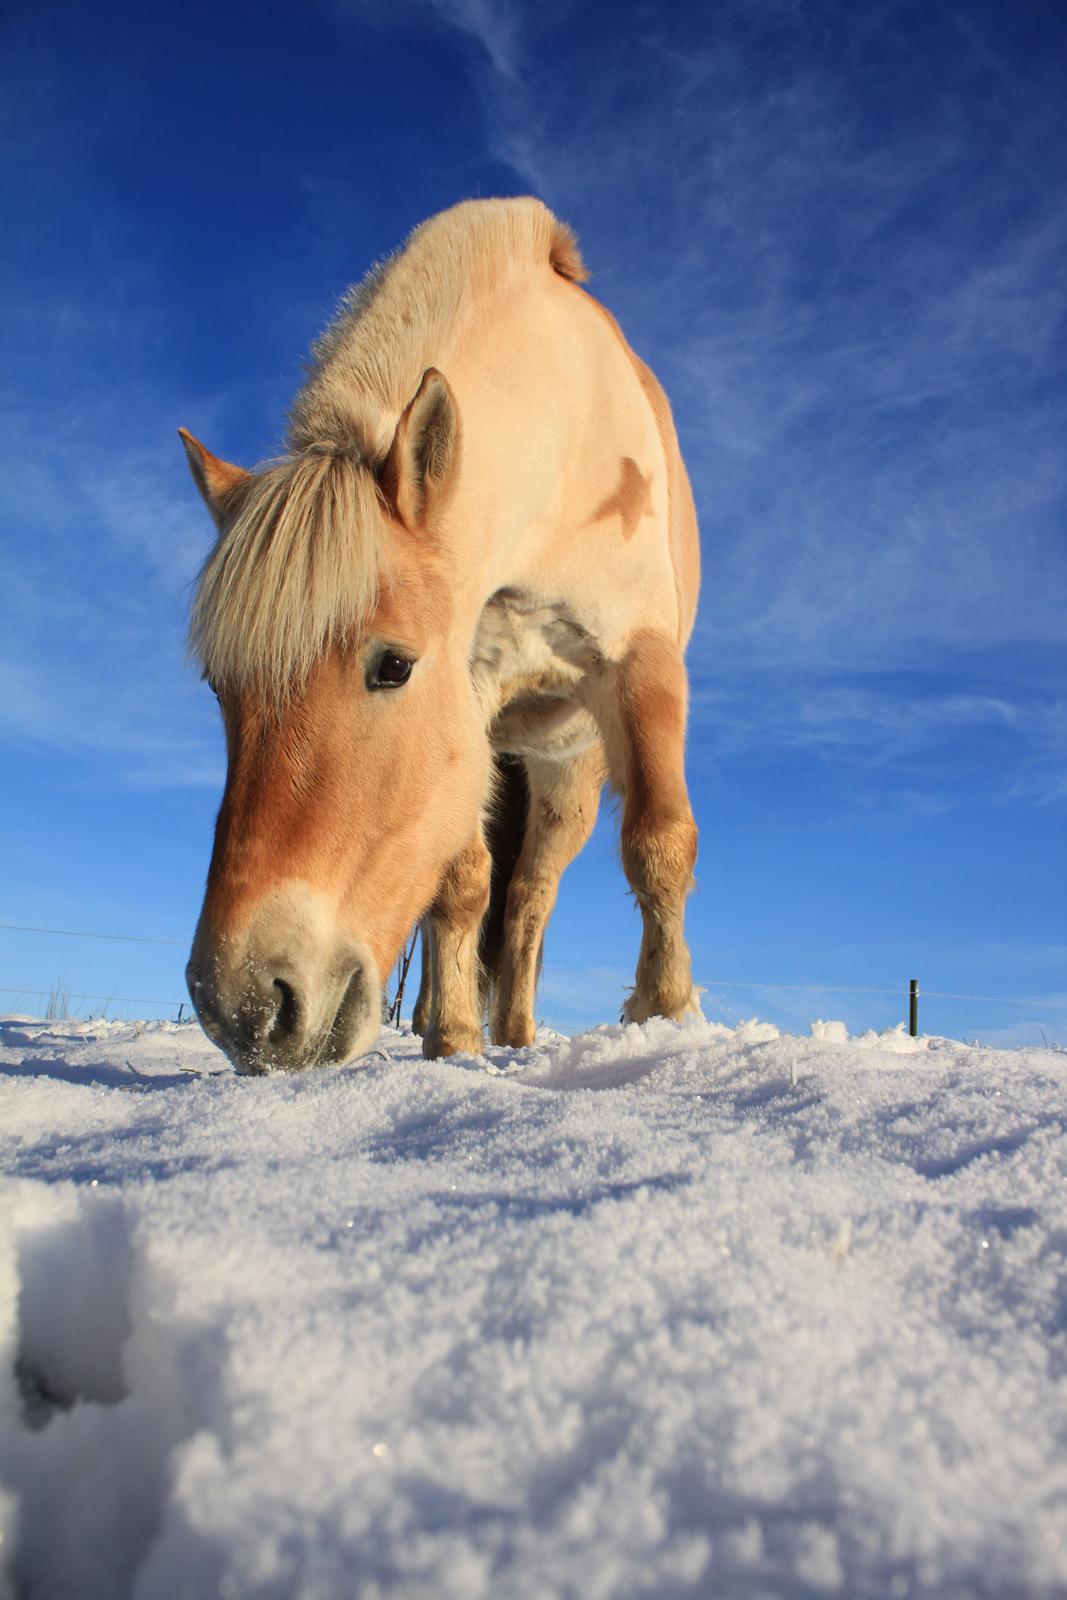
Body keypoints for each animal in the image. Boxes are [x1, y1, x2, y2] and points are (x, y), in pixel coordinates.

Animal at [181, 203, 700, 1075]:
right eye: (219, 687)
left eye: (393, 666)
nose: (245, 1007)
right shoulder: (473, 693)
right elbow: (459, 882)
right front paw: (452, 1042)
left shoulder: (638, 664)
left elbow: (658, 843)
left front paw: (666, 1015)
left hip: (564, 773)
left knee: (529, 902)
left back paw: (520, 1034)